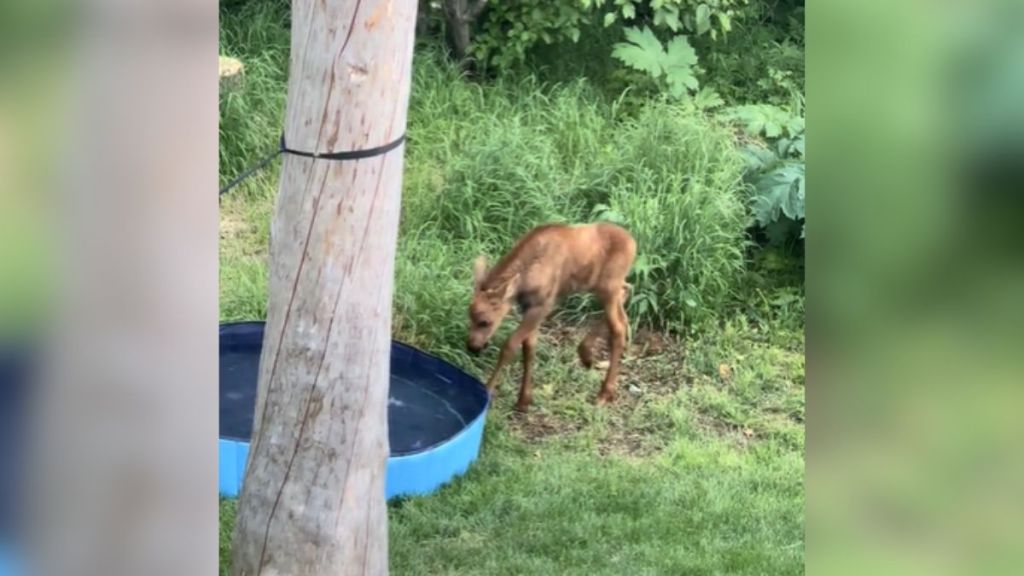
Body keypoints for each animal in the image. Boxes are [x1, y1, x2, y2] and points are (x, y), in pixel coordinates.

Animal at [468, 219, 634, 407]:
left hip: (608, 285)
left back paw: (605, 391)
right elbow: (529, 348)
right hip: (601, 285)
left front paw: (487, 392)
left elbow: (510, 346)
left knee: (618, 326)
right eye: (469, 315)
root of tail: (633, 243)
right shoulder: (528, 307)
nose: (472, 347)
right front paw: (524, 400)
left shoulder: (543, 304)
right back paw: (586, 355)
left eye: (485, 321)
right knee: (626, 292)